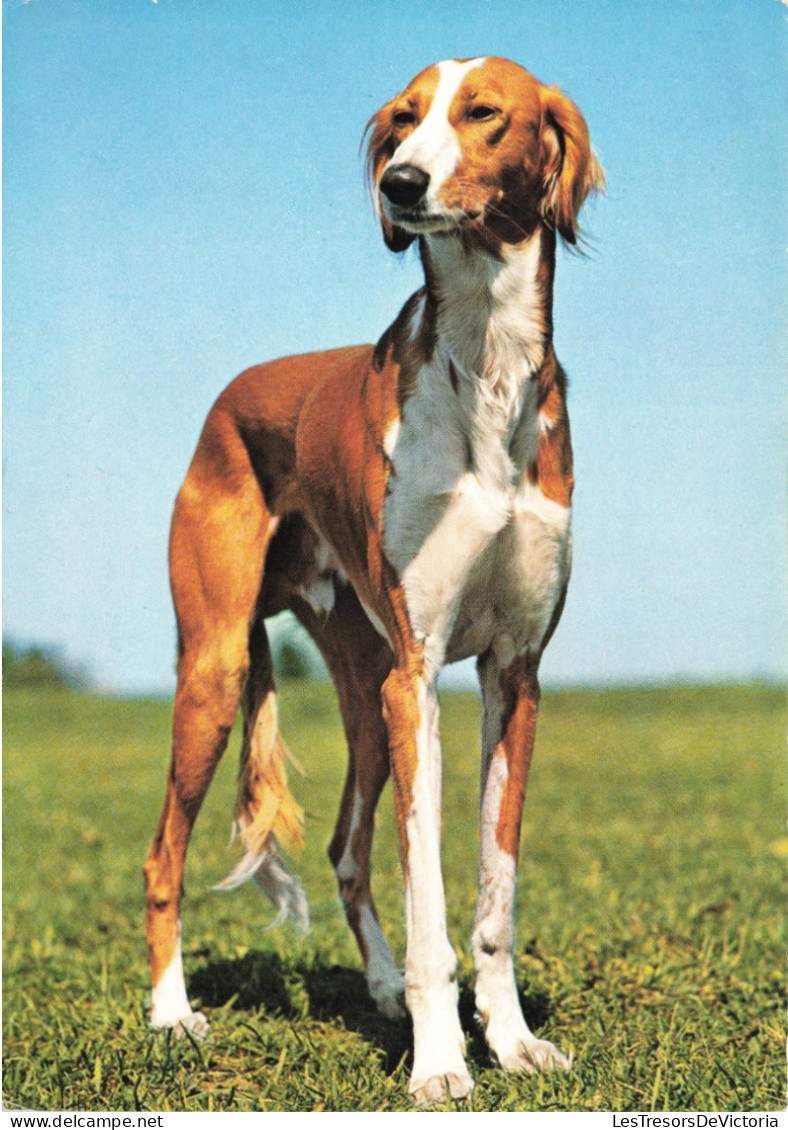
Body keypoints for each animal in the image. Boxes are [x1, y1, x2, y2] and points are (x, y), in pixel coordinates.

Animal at [143, 55, 601, 1102]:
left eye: (483, 113)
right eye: (402, 119)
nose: (401, 183)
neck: (487, 366)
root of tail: (230, 395)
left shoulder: (513, 674)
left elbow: (495, 892)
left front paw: (512, 1042)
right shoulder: (419, 678)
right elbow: (430, 900)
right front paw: (441, 1066)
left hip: (361, 690)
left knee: (347, 851)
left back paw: (384, 989)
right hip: (220, 669)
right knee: (163, 854)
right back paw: (171, 1013)